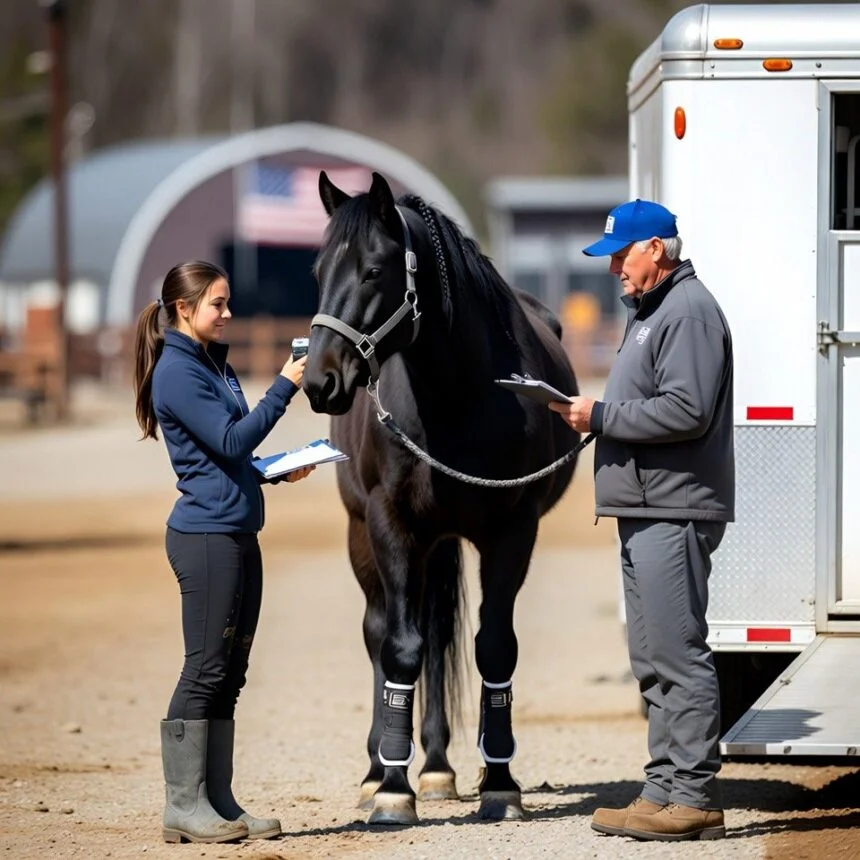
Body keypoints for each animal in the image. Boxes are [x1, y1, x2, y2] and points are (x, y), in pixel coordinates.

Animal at [302, 170, 582, 824]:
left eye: (374, 270)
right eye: (318, 270)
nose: (319, 382)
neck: (457, 395)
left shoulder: (512, 530)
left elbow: (494, 648)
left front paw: (499, 781)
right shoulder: (391, 524)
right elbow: (401, 648)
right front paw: (392, 791)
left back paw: (438, 768)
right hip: (367, 538)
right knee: (383, 633)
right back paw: (382, 771)